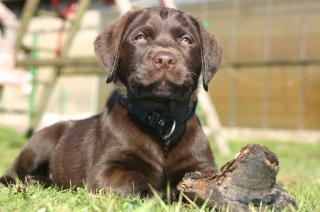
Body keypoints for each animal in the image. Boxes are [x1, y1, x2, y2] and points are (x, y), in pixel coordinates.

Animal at [0, 6, 221, 195]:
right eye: (140, 37)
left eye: (186, 40)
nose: (165, 59)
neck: (162, 122)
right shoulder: (106, 171)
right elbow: (137, 182)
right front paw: (162, 192)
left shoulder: (203, 167)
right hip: (41, 142)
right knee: (13, 174)